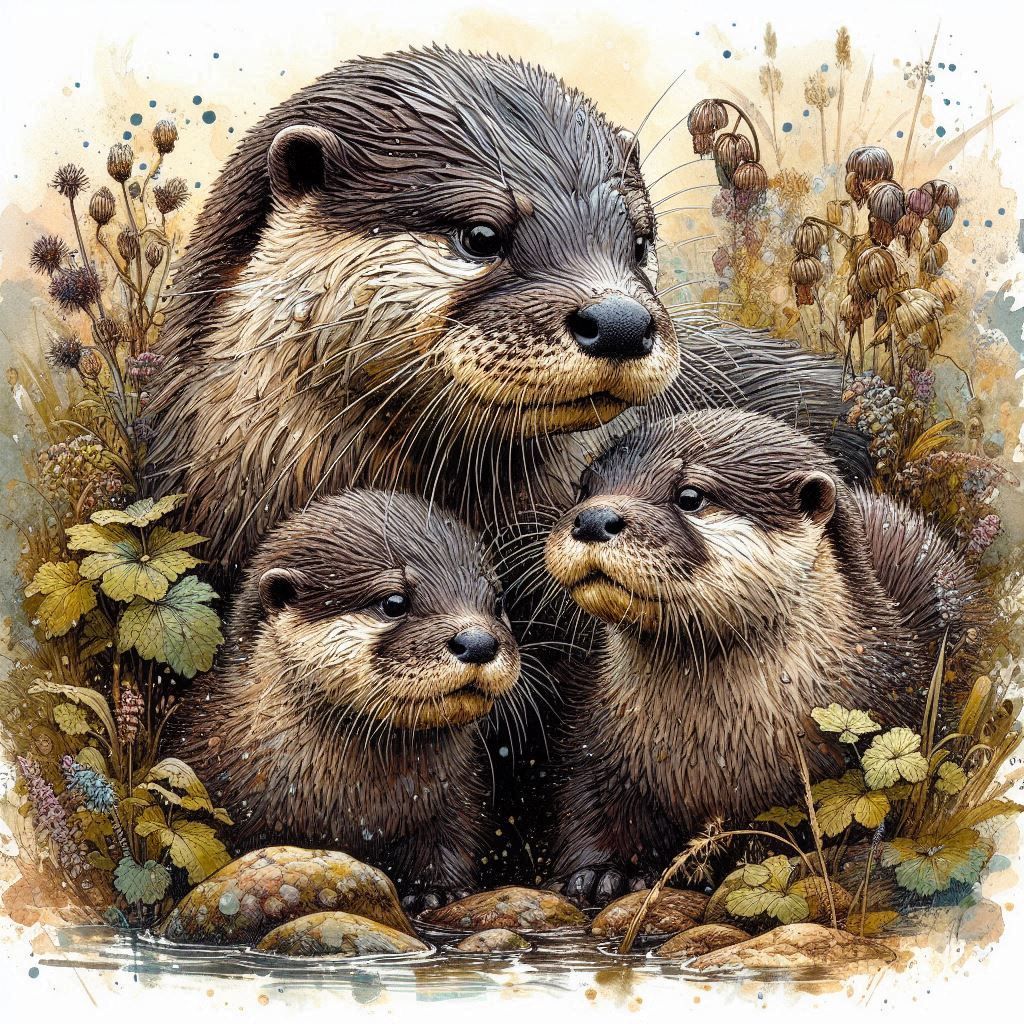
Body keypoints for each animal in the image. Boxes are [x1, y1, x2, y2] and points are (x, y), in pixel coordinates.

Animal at [168, 489, 522, 909]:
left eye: (497, 603)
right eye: (394, 602)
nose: (479, 642)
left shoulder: (457, 800)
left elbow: (451, 840)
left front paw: (438, 892)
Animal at [542, 410, 986, 904]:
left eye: (690, 496)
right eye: (584, 488)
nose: (593, 517)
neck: (713, 752)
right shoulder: (595, 735)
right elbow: (586, 803)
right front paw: (602, 872)